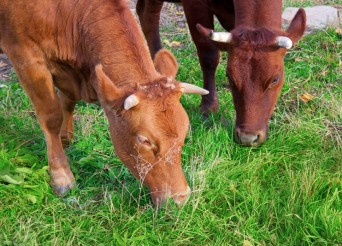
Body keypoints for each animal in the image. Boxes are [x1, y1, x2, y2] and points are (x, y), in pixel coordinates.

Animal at [0, 0, 208, 206]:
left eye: (184, 132)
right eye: (144, 140)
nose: (180, 198)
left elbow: (67, 102)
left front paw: (65, 140)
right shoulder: (26, 56)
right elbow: (51, 117)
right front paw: (61, 175)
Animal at [136, 0, 308, 146]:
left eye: (275, 79)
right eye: (229, 78)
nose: (248, 138)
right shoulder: (194, 5)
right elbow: (208, 55)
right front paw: (209, 105)